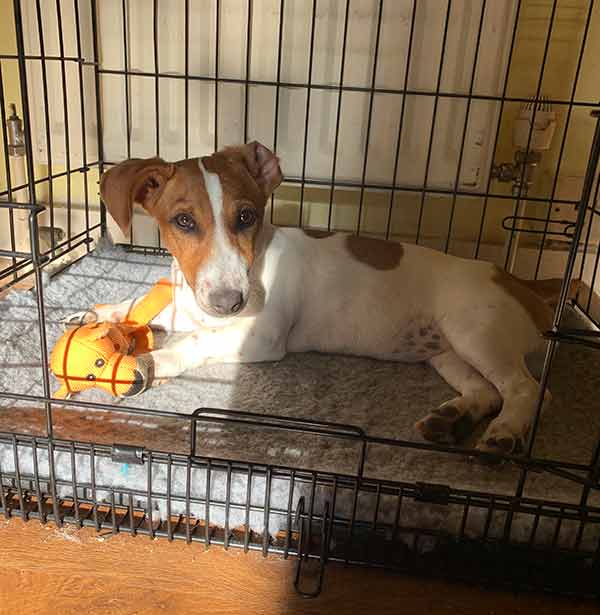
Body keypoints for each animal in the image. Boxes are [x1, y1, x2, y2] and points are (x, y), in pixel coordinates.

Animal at [68, 141, 560, 458]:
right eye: (183, 221)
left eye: (246, 217)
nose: (230, 302)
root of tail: (522, 282)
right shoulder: (189, 307)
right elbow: (147, 308)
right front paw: (102, 312)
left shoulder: (259, 337)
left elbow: (195, 342)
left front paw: (152, 361)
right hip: (445, 351)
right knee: (485, 390)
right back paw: (452, 419)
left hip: (476, 331)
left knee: (528, 389)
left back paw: (505, 432)